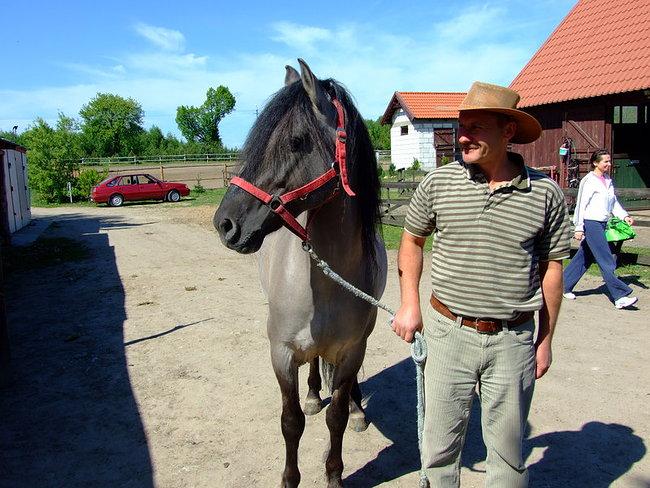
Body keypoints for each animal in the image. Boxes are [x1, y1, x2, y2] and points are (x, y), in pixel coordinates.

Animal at [213, 59, 384, 486]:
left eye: (295, 142)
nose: (225, 224)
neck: (325, 285)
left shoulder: (353, 349)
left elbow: (336, 417)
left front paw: (334, 472)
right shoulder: (281, 353)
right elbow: (290, 422)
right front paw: (289, 478)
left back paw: (358, 408)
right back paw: (311, 395)